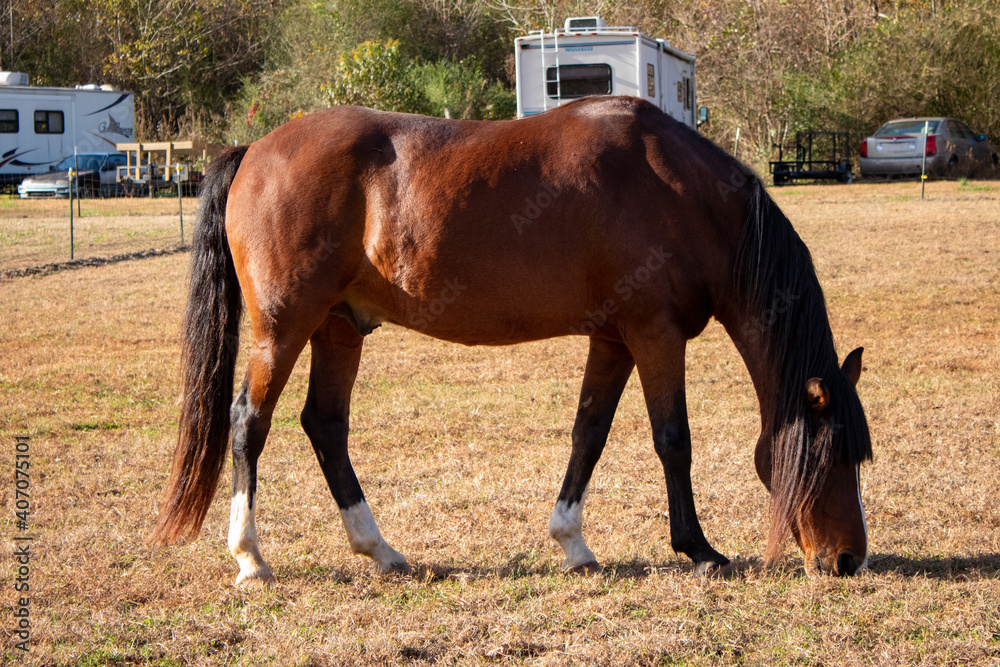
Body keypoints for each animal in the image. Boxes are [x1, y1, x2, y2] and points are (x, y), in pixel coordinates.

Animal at [152, 96, 872, 584]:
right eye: (834, 452)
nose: (847, 559)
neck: (678, 192)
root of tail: (255, 149)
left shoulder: (614, 341)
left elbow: (589, 434)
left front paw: (573, 543)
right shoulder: (655, 335)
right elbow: (674, 441)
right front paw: (699, 549)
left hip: (338, 326)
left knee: (325, 425)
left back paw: (381, 551)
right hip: (284, 328)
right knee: (249, 421)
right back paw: (250, 557)